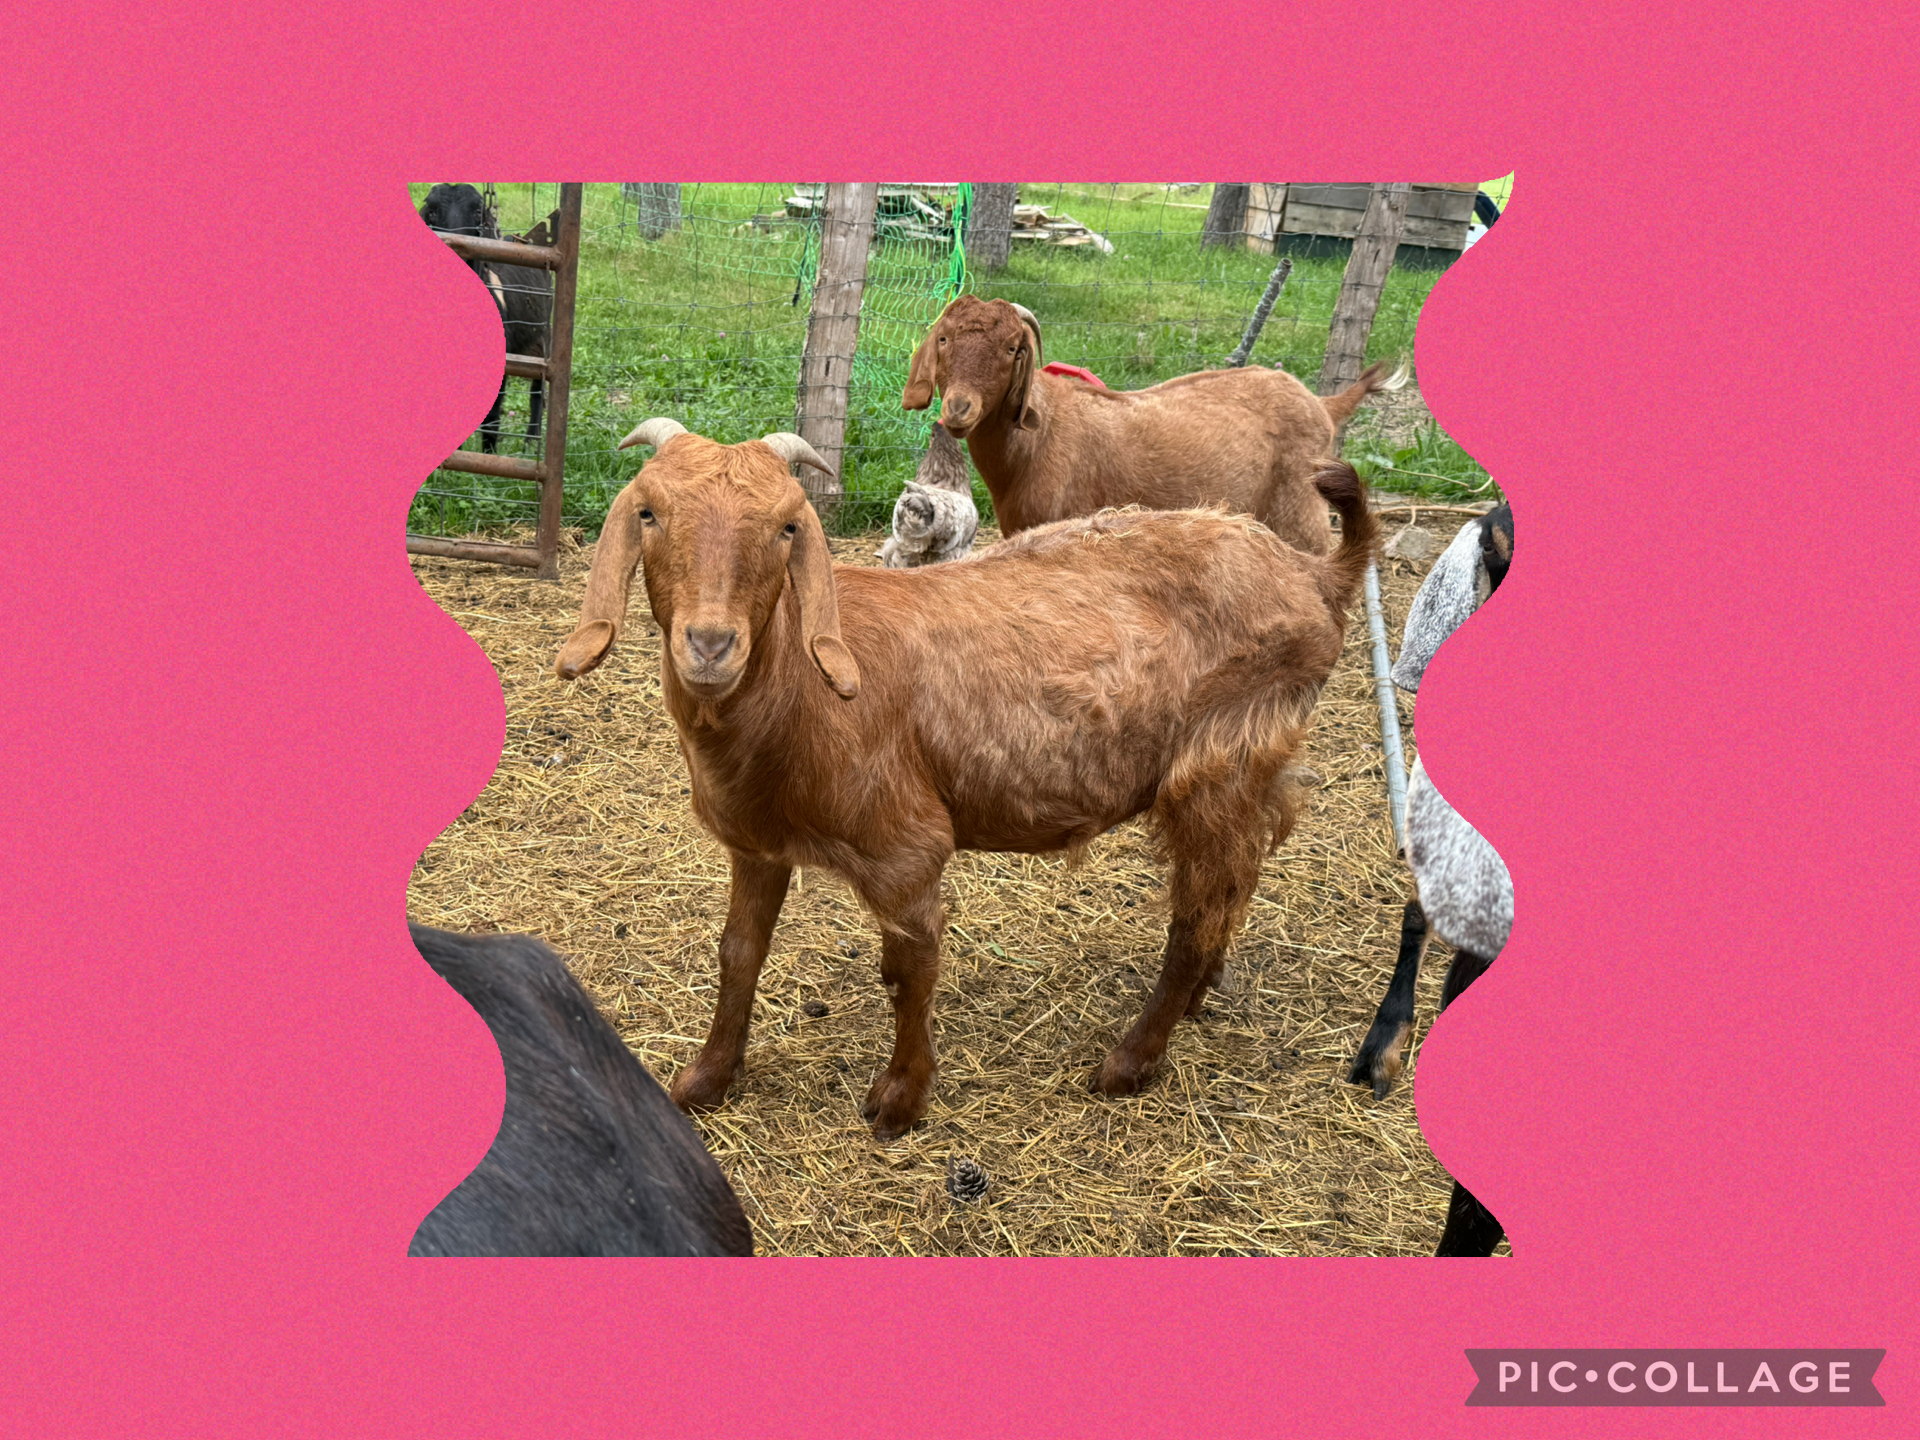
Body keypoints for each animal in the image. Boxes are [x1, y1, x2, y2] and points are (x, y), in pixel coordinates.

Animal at [417, 183, 555, 455]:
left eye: (478, 211)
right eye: (432, 211)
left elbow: (491, 417)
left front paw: (489, 455)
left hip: (544, 340)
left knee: (537, 391)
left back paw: (530, 442)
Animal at [901, 294, 1403, 553]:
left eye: (1012, 348)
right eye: (943, 339)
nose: (959, 409)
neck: (1036, 442)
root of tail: (1324, 405)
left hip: (1302, 513)